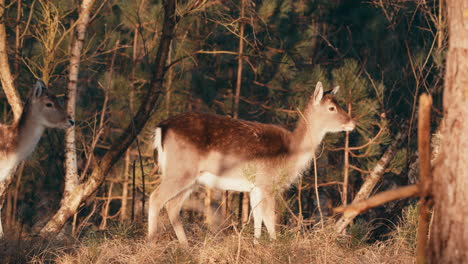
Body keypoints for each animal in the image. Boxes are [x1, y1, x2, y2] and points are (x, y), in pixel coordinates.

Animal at [149, 81, 354, 244]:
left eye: (338, 103)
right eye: (332, 108)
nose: (352, 122)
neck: (292, 153)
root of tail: (162, 128)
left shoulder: (255, 188)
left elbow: (257, 219)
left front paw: (256, 245)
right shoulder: (267, 183)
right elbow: (270, 221)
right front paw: (275, 247)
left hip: (191, 178)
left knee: (172, 205)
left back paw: (185, 247)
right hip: (181, 171)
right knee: (155, 197)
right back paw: (151, 243)